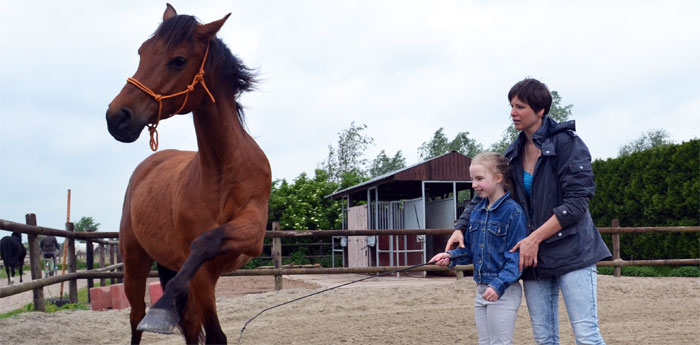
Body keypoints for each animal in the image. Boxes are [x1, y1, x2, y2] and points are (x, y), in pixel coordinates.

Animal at [105, 3, 270, 344]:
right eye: (142, 51)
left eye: (178, 60)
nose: (116, 117)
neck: (223, 170)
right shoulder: (202, 275)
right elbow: (215, 332)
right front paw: (162, 307)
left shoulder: (252, 231)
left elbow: (206, 241)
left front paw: (165, 305)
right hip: (135, 263)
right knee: (137, 317)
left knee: (191, 325)